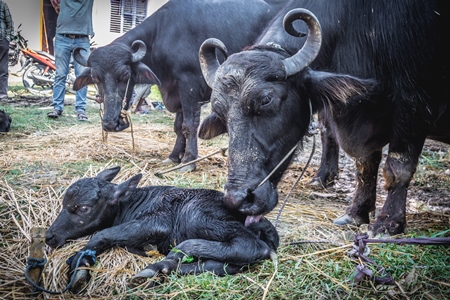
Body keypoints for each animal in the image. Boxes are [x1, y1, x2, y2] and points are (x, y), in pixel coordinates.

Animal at [45, 165, 278, 292]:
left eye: (83, 208)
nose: (49, 236)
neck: (131, 205)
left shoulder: (158, 222)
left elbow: (102, 234)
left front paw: (79, 265)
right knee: (223, 265)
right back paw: (158, 268)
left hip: (197, 214)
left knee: (251, 247)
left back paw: (175, 254)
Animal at [72, 0, 284, 171]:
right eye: (95, 77)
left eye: (124, 74)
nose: (110, 123)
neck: (163, 35)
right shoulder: (176, 90)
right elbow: (178, 126)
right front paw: (174, 156)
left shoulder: (189, 86)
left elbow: (189, 125)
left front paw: (188, 161)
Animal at [199, 1, 448, 238]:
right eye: (220, 111)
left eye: (266, 100)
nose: (237, 200)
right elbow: (365, 164)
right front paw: (356, 212)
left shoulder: (414, 104)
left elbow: (398, 167)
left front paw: (387, 223)